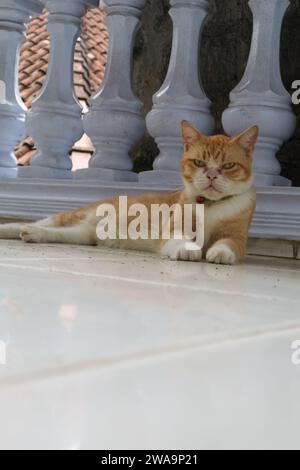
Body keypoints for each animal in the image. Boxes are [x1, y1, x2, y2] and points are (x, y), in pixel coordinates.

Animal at [0, 122, 258, 264]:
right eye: (199, 162)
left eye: (228, 166)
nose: (212, 175)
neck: (210, 206)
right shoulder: (174, 231)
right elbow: (181, 240)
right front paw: (189, 249)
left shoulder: (237, 237)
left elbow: (227, 244)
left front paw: (220, 253)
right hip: (77, 215)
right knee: (40, 221)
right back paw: (16, 230)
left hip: (82, 235)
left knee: (56, 233)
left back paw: (33, 234)